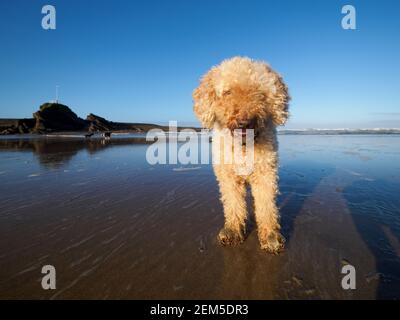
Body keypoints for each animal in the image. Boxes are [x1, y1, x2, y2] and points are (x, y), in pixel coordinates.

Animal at [192, 57, 290, 252]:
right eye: (228, 92)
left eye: (260, 92)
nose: (245, 122)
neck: (244, 147)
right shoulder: (229, 177)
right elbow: (233, 205)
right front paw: (233, 231)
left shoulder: (265, 174)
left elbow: (267, 207)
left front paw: (270, 236)